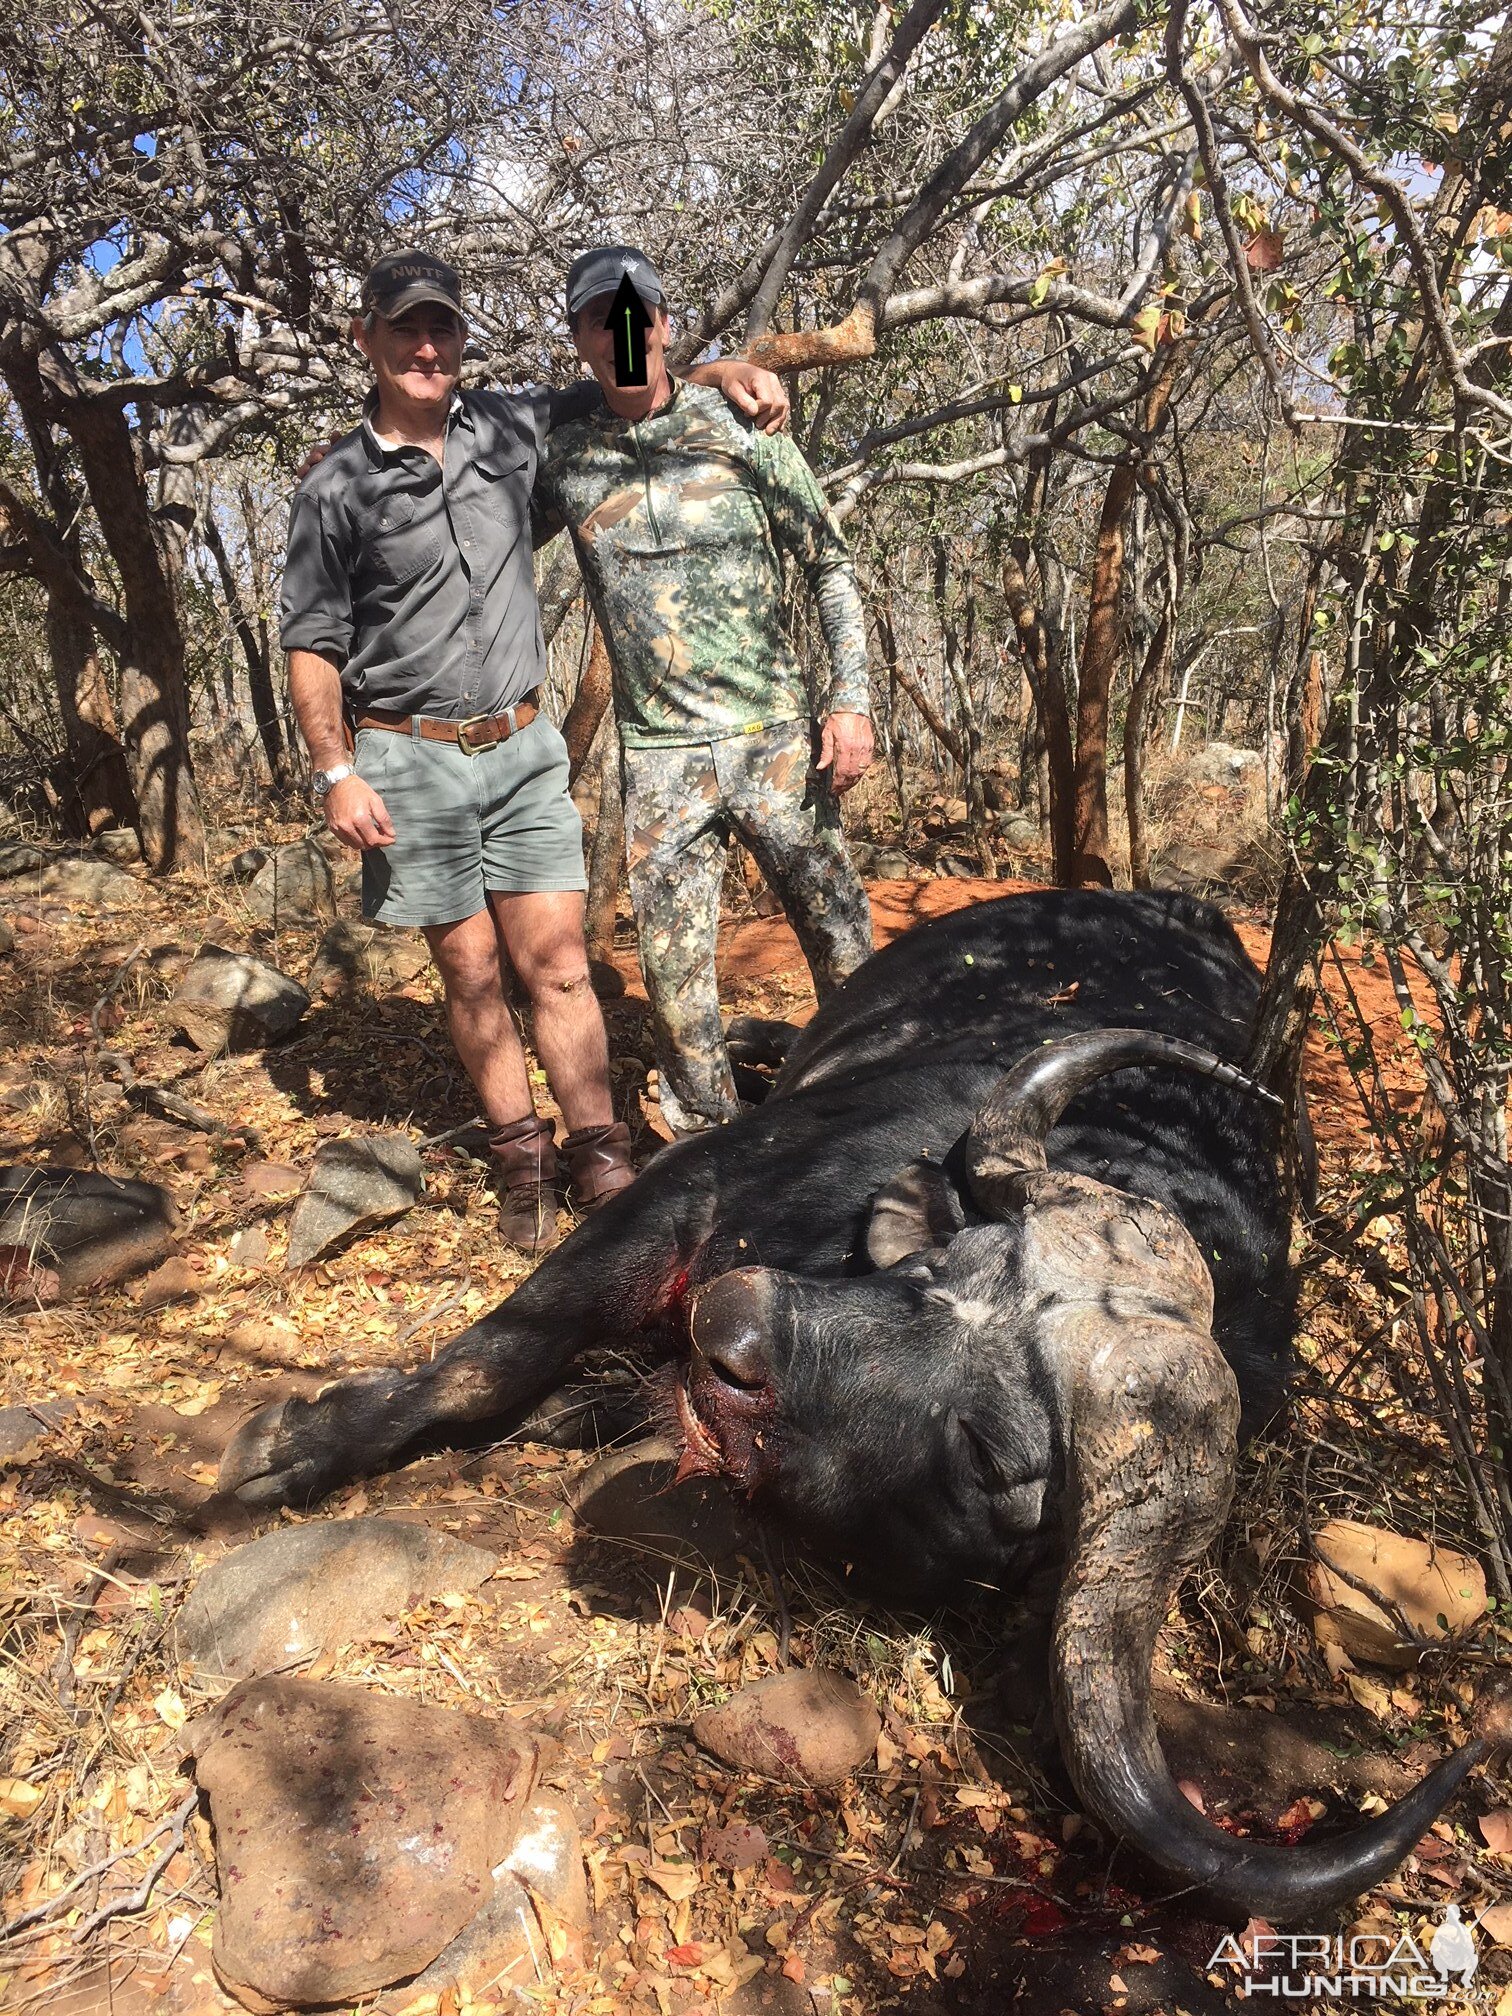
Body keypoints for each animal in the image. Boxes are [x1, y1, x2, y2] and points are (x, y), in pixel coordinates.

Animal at [218, 895, 1499, 1919]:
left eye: (989, 1453)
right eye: (944, 1266)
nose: (735, 1331)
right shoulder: (681, 1199)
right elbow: (487, 1358)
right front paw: (287, 1450)